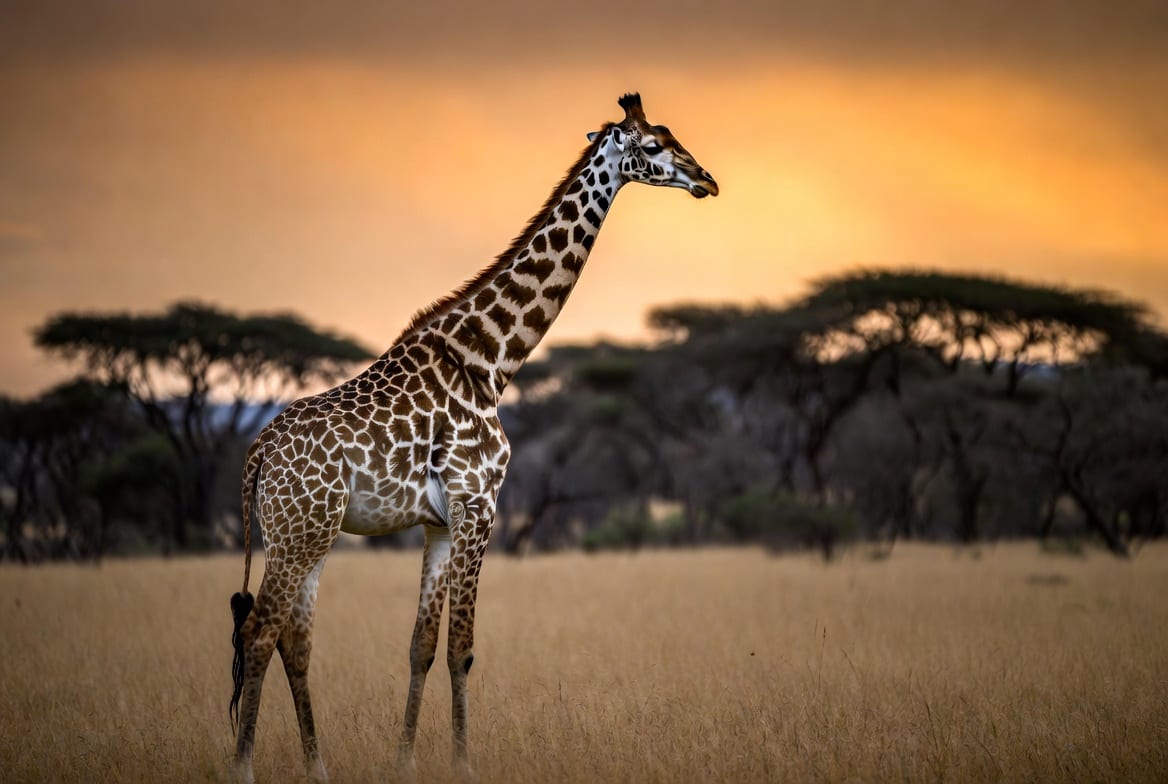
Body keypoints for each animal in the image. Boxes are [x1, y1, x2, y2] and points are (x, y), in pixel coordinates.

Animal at [227, 92, 718, 783]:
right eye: (652, 147)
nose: (707, 180)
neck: (490, 360)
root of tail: (258, 453)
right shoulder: (478, 504)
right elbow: (462, 647)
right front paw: (464, 763)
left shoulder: (438, 522)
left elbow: (421, 645)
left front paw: (405, 761)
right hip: (299, 535)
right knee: (258, 633)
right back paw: (244, 767)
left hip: (307, 535)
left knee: (294, 641)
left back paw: (318, 768)